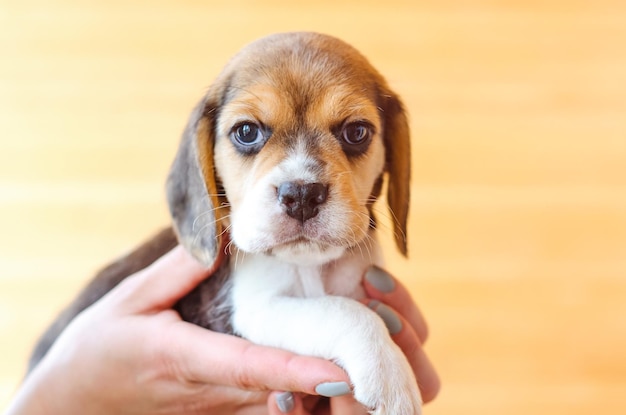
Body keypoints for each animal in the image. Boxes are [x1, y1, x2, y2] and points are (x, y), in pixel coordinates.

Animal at [30, 33, 420, 415]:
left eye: (356, 132)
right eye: (246, 132)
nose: (301, 194)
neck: (308, 265)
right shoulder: (252, 309)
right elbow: (344, 311)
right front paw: (388, 372)